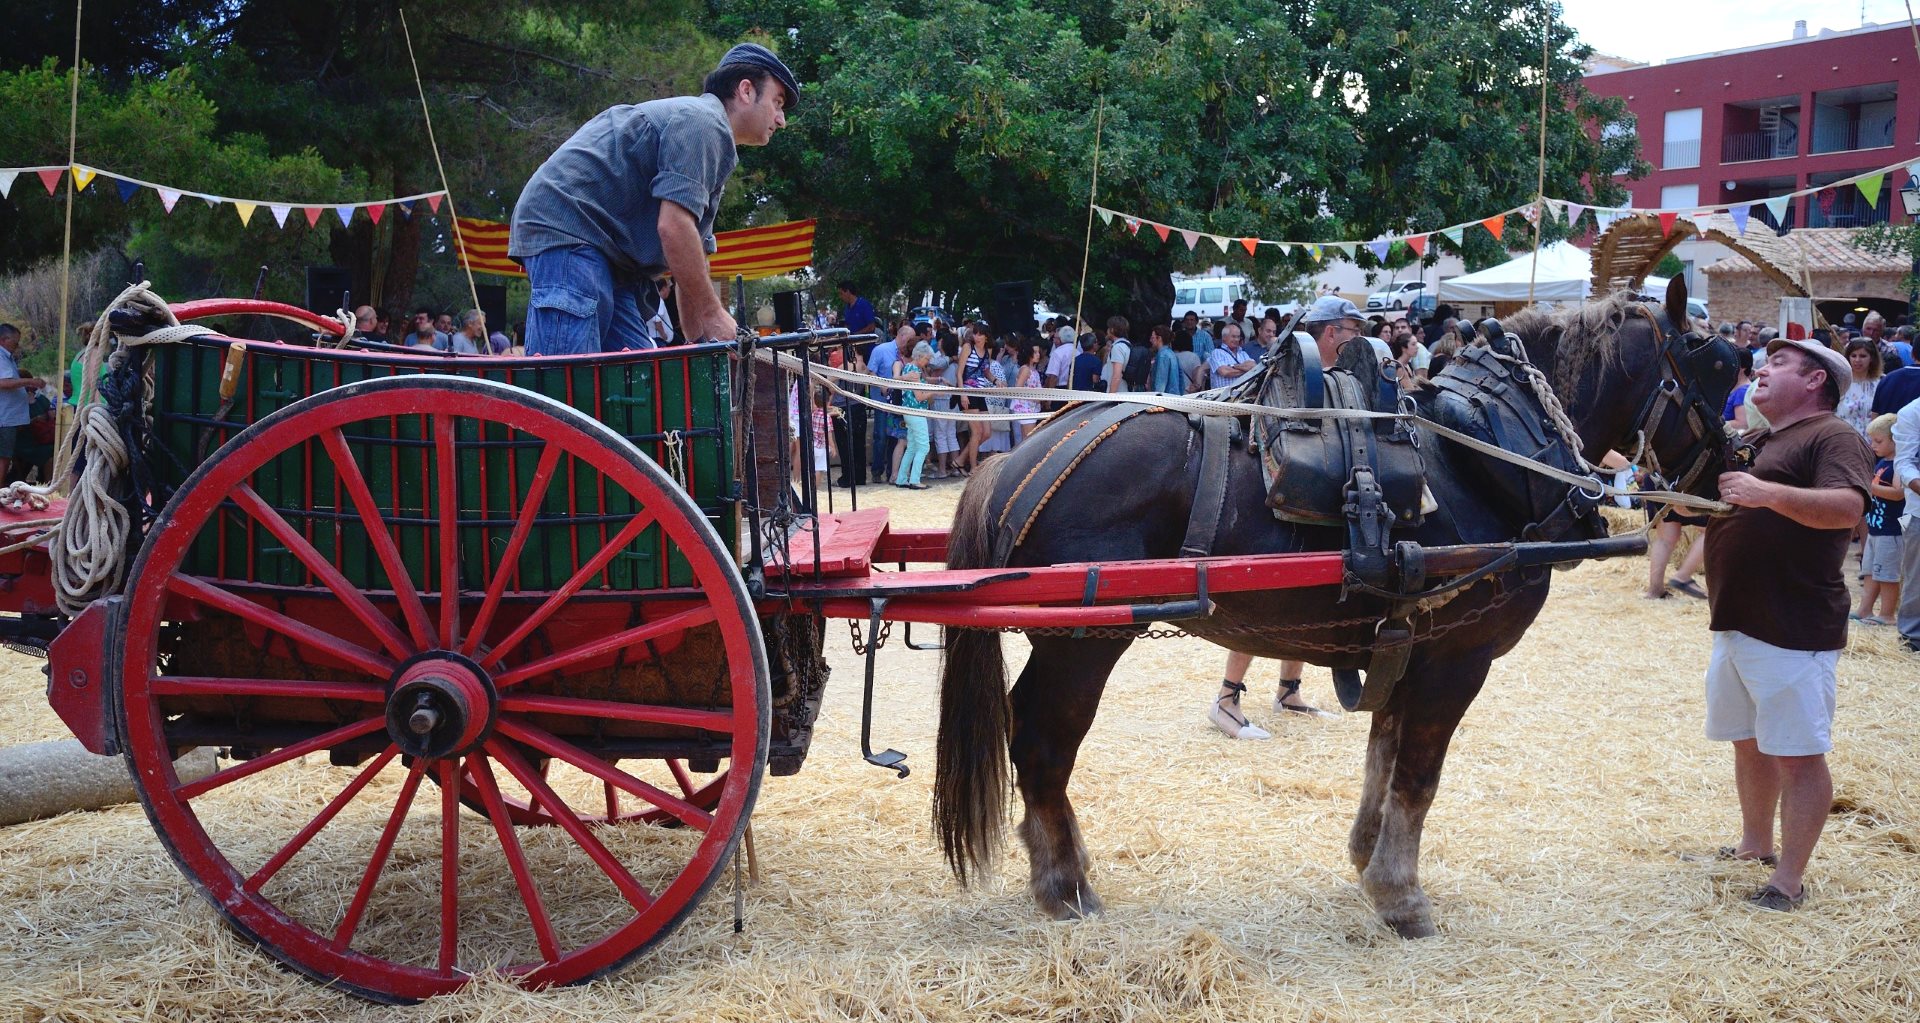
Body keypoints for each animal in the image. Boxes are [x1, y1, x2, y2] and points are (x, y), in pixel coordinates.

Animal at [929, 284, 1743, 936]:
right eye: (1722, 366)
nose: (1733, 472)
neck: (1483, 452)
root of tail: (1017, 457)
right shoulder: (1458, 660)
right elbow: (1420, 776)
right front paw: (1402, 898)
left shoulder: (1407, 640)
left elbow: (1384, 757)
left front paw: (1367, 858)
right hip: (1083, 641)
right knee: (1041, 739)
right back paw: (1065, 885)